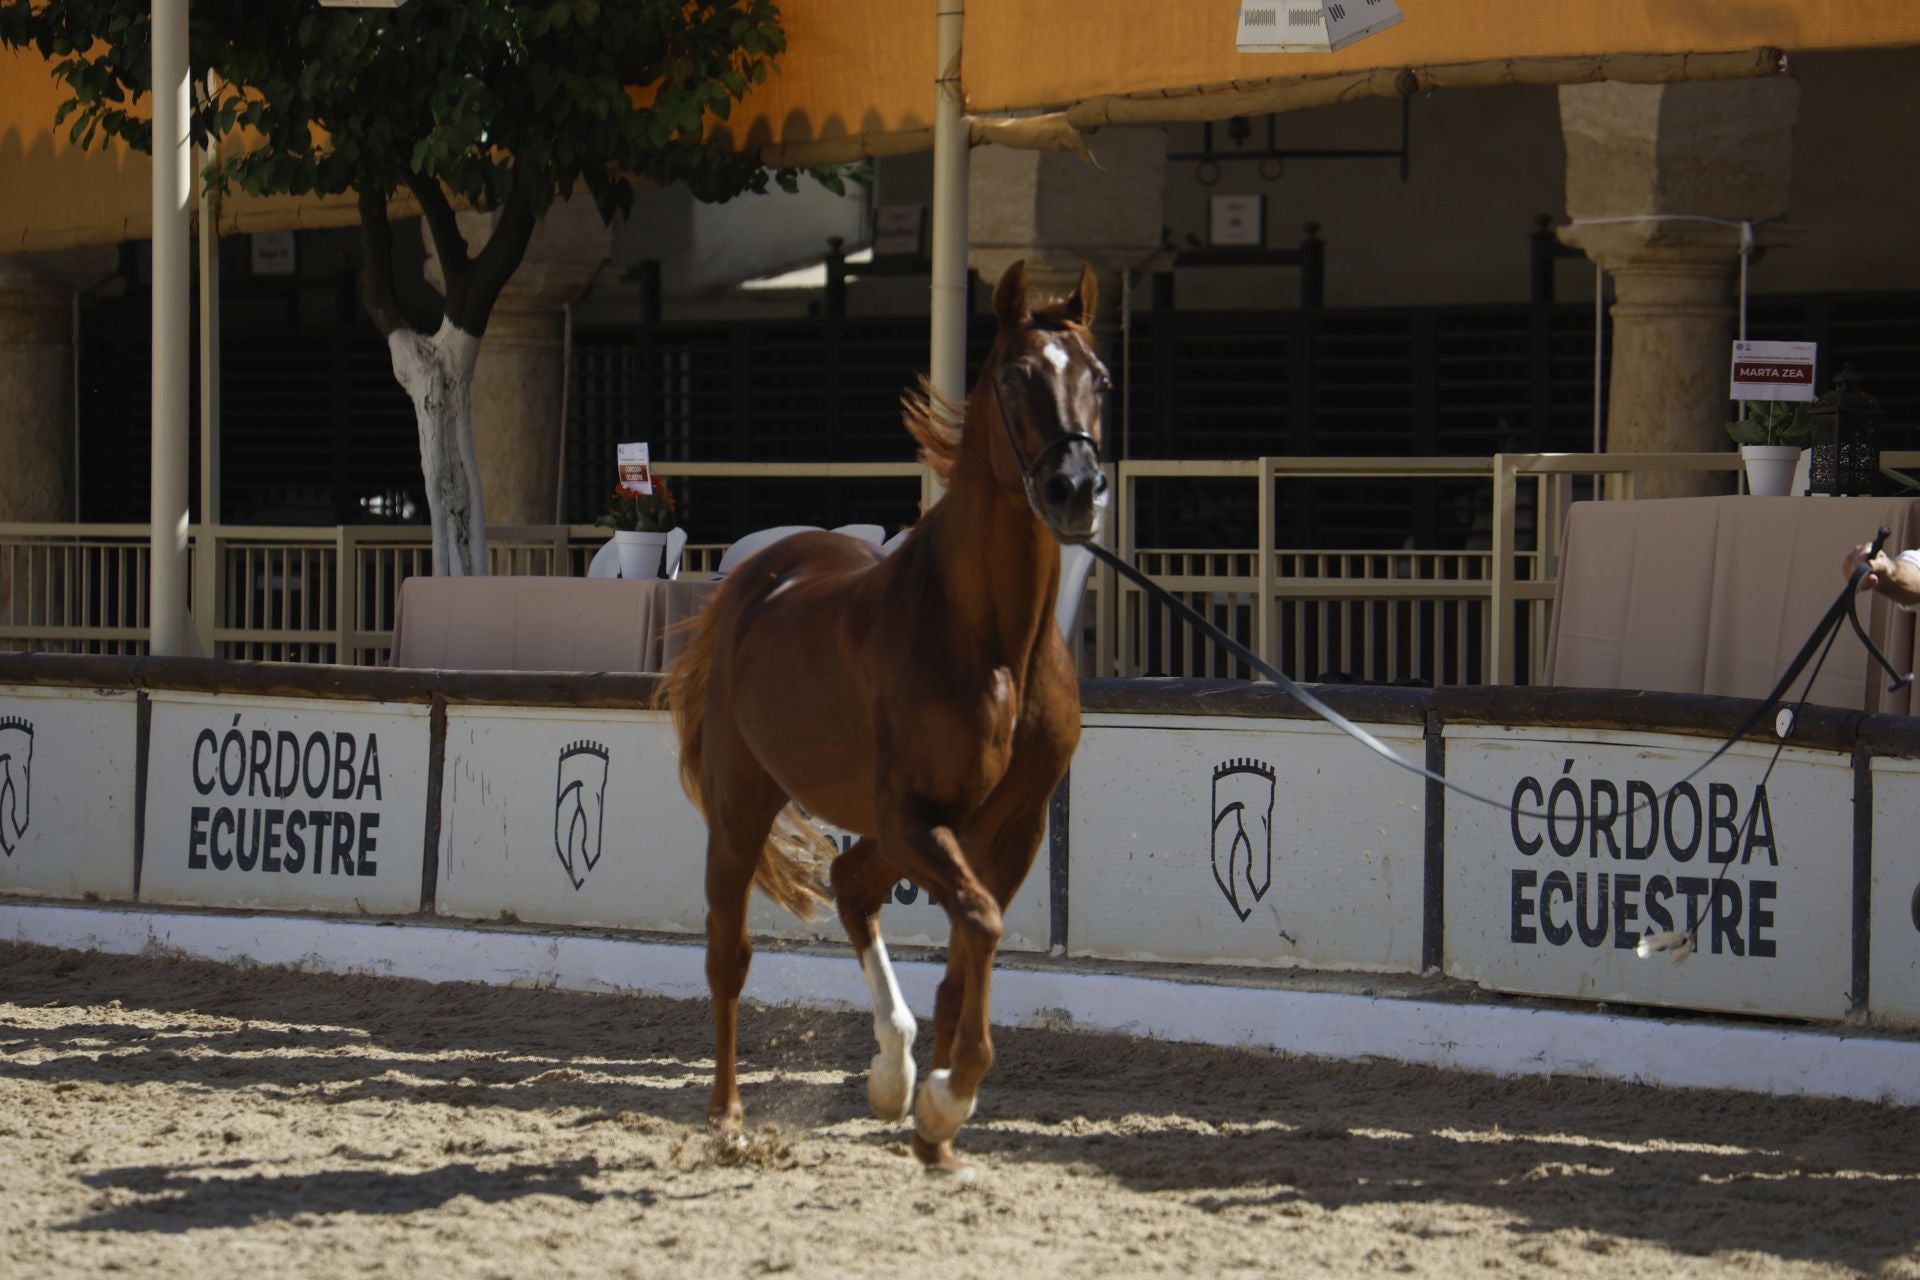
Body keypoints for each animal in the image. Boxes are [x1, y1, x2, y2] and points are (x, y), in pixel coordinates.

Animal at [661, 260, 1110, 1172]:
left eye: (1102, 378)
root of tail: (751, 580)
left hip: (881, 829)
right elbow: (978, 924)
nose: (1077, 490)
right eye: (1017, 374)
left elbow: (970, 946)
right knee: (730, 954)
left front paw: (933, 1117)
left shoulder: (1008, 828)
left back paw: (893, 1072)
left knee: (850, 885)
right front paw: (944, 1098)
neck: (993, 642)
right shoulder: (916, 815)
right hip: (742, 805)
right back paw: (730, 1117)